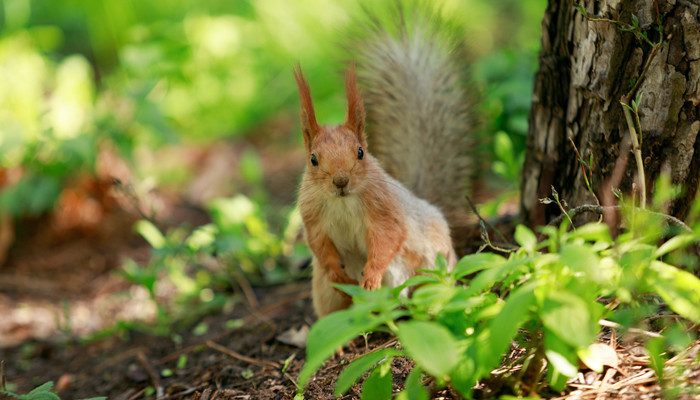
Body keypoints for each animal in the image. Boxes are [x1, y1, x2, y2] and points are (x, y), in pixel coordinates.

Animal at [292, 7, 474, 318]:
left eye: (360, 152)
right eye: (313, 159)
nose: (341, 181)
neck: (342, 201)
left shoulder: (383, 208)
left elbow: (387, 237)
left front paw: (371, 276)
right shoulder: (312, 214)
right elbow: (319, 246)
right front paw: (336, 272)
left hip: (431, 266)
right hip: (326, 294)